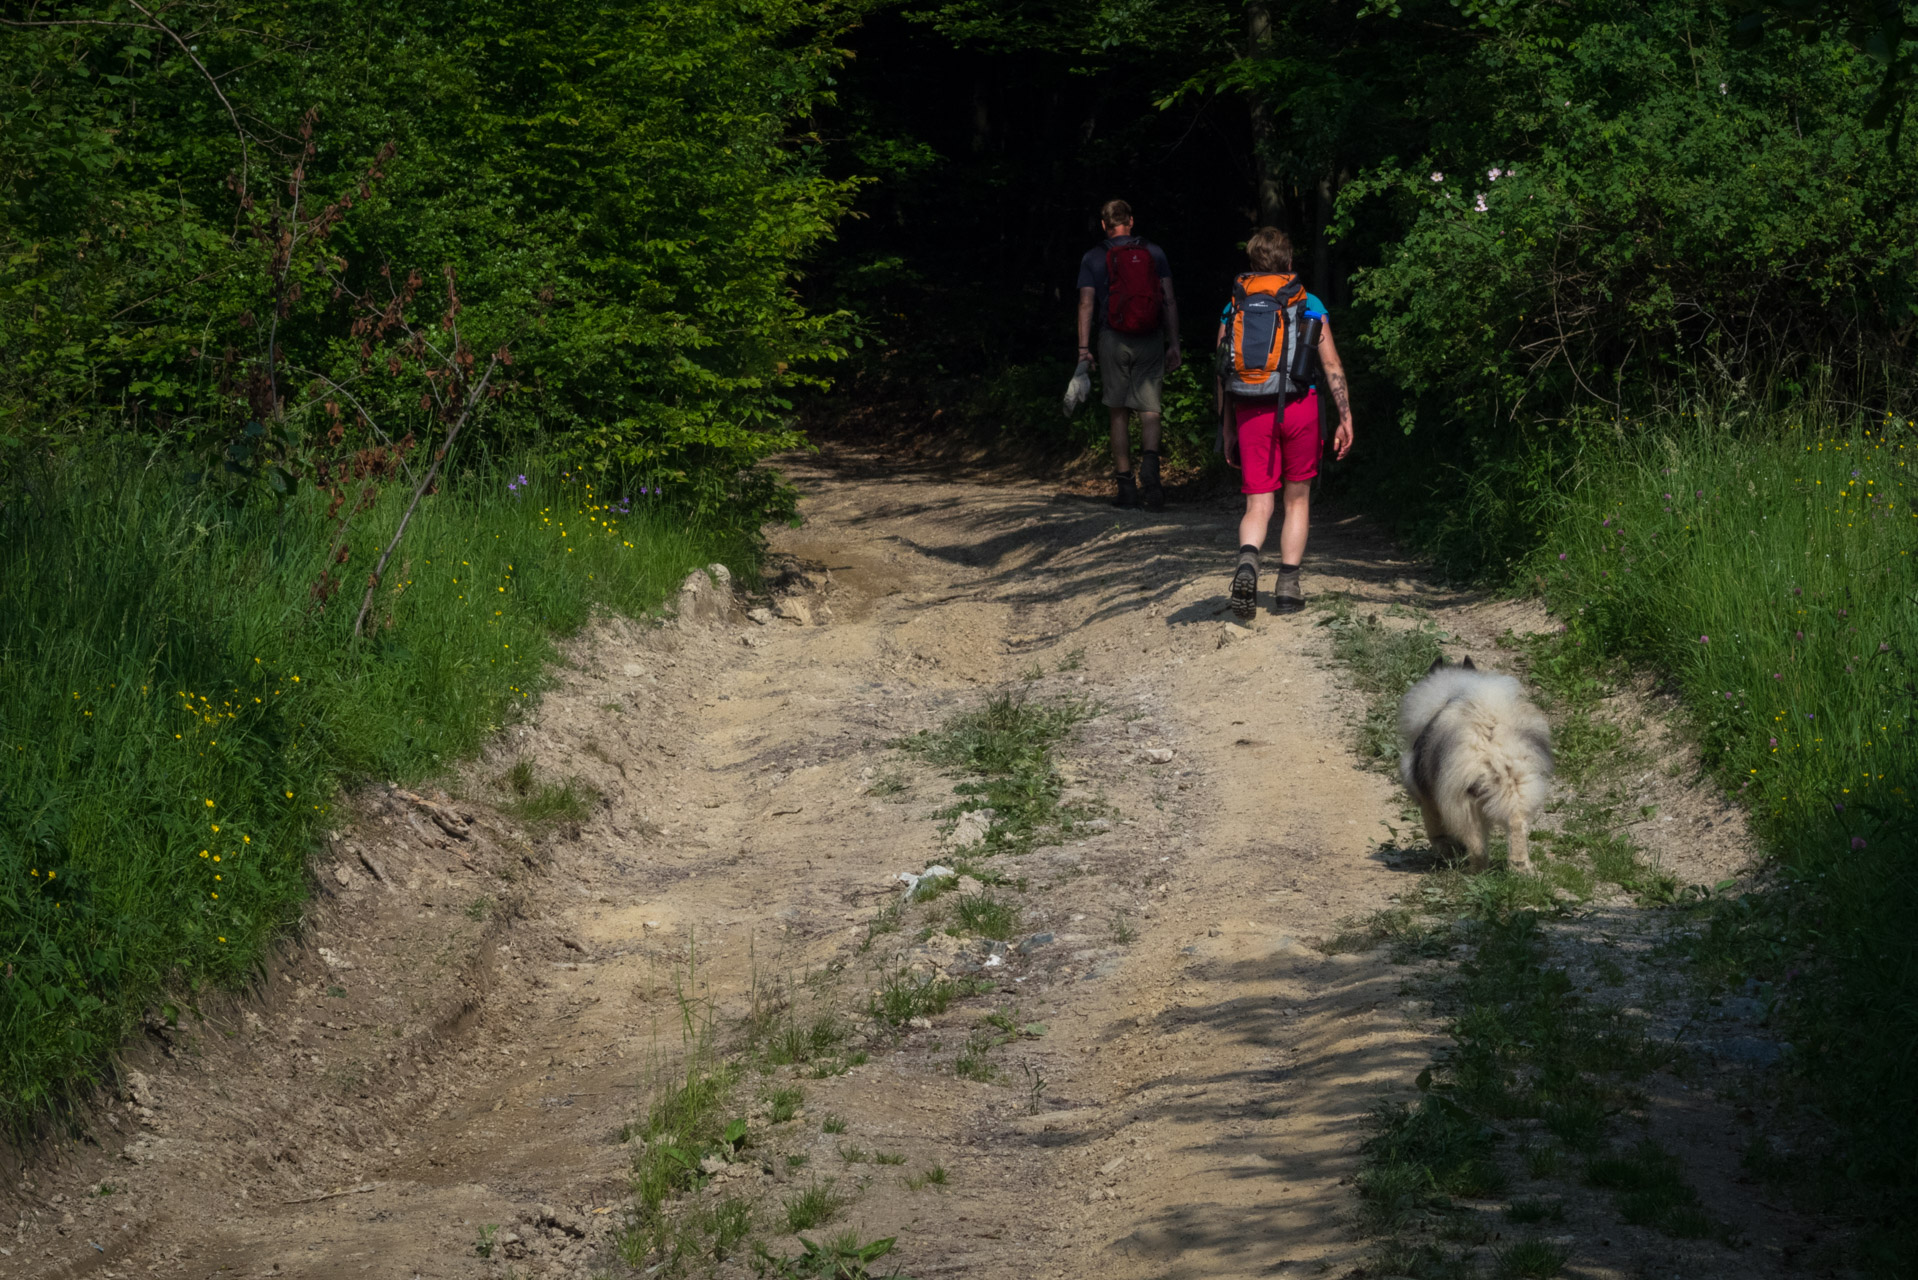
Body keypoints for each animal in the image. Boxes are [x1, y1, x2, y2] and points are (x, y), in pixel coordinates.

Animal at [1403, 660, 1549, 871]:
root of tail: (1490, 740)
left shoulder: (1428, 800)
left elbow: (1436, 832)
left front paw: (1447, 852)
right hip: (1518, 788)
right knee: (1516, 826)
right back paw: (1521, 868)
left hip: (1464, 804)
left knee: (1478, 847)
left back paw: (1473, 871)